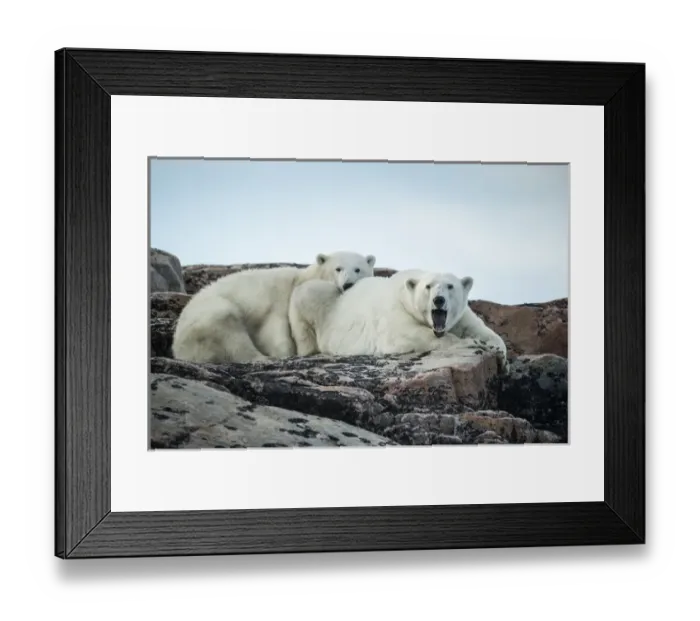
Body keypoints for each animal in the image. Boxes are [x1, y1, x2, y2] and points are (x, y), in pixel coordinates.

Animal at [171, 251, 377, 364]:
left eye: (358, 269)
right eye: (338, 268)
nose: (348, 285)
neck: (302, 279)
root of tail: (177, 347)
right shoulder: (277, 302)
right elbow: (275, 330)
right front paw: (285, 353)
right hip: (209, 314)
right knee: (231, 333)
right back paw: (262, 358)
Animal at [289, 268, 509, 371]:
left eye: (450, 286)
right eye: (428, 286)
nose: (438, 300)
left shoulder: (461, 316)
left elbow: (480, 329)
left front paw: (499, 354)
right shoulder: (395, 311)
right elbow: (407, 334)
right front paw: (473, 343)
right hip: (321, 301)